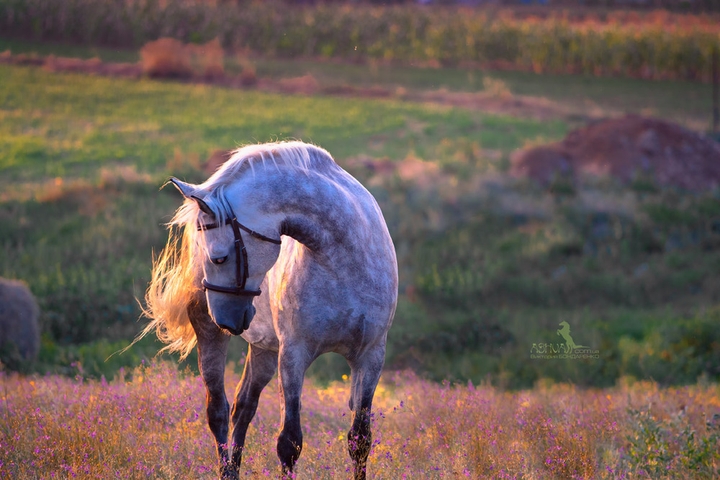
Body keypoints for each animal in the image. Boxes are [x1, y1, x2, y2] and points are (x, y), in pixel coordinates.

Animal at [139, 141, 398, 479]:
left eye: (219, 257)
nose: (226, 319)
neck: (343, 260)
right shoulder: (293, 354)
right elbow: (289, 443)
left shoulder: (370, 357)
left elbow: (360, 440)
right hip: (211, 334)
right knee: (218, 411)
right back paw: (226, 470)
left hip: (264, 348)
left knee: (243, 408)